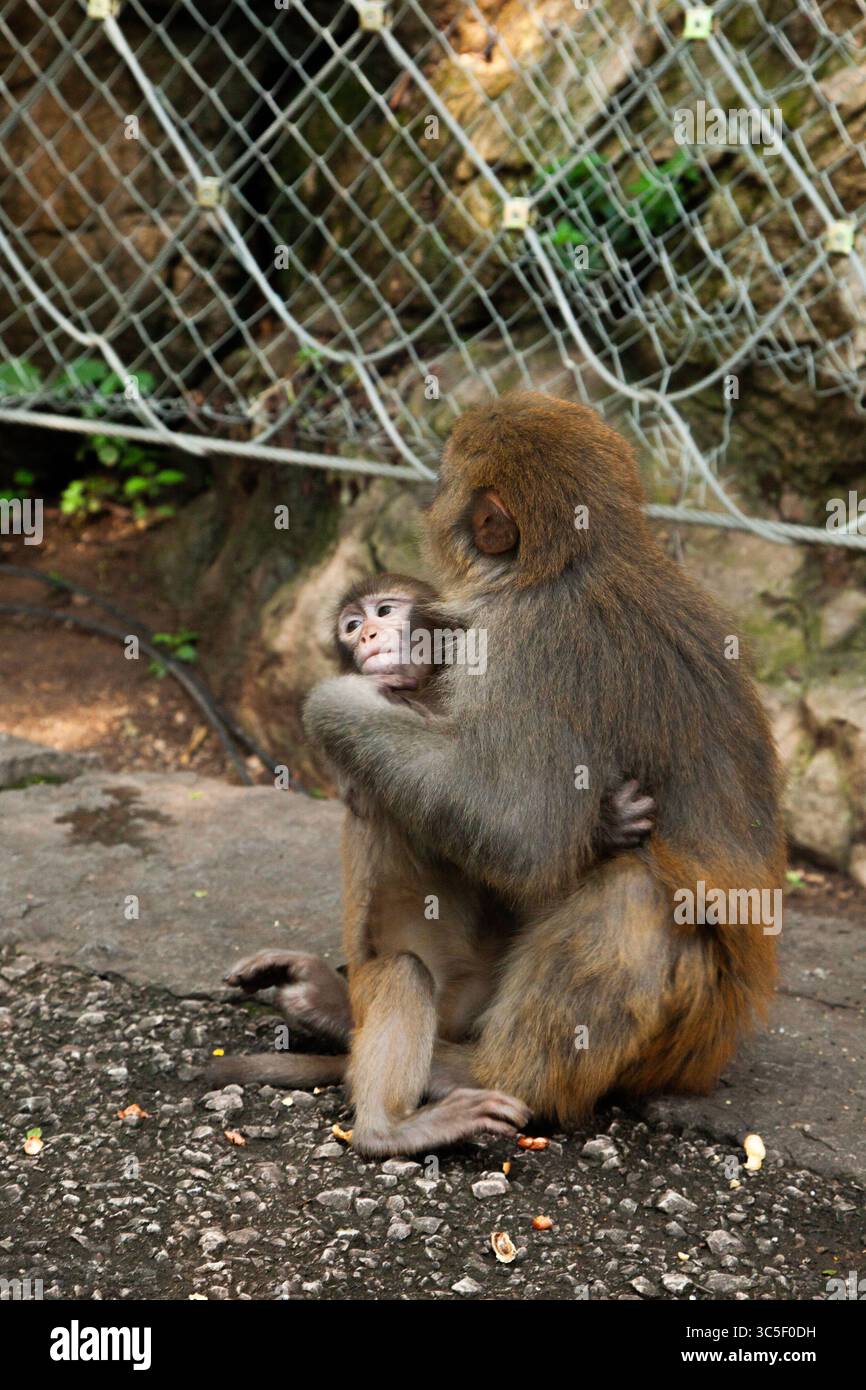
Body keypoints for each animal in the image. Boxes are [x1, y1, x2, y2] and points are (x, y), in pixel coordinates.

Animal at [209, 567, 656, 1152]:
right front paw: (602, 827)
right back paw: (391, 1128)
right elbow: (501, 847)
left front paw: (606, 823)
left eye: (383, 612)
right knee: (404, 970)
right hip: (392, 990)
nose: (367, 636)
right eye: (350, 626)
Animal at [296, 391, 784, 1149]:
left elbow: (522, 834)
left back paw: (469, 1075)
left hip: (680, 1044)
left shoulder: (518, 644)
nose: (369, 633)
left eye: (443, 485)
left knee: (634, 896)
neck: (575, 562)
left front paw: (332, 703)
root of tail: (714, 1051)